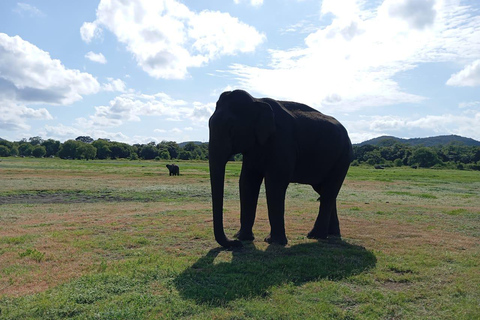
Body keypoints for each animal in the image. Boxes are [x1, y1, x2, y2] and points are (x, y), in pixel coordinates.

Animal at [209, 89, 352, 249]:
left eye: (231, 129)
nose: (234, 243)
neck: (256, 101)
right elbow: (247, 182)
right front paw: (243, 238)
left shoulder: (282, 142)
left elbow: (275, 183)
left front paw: (273, 242)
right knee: (325, 191)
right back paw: (332, 234)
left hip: (343, 158)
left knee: (328, 192)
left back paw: (315, 236)